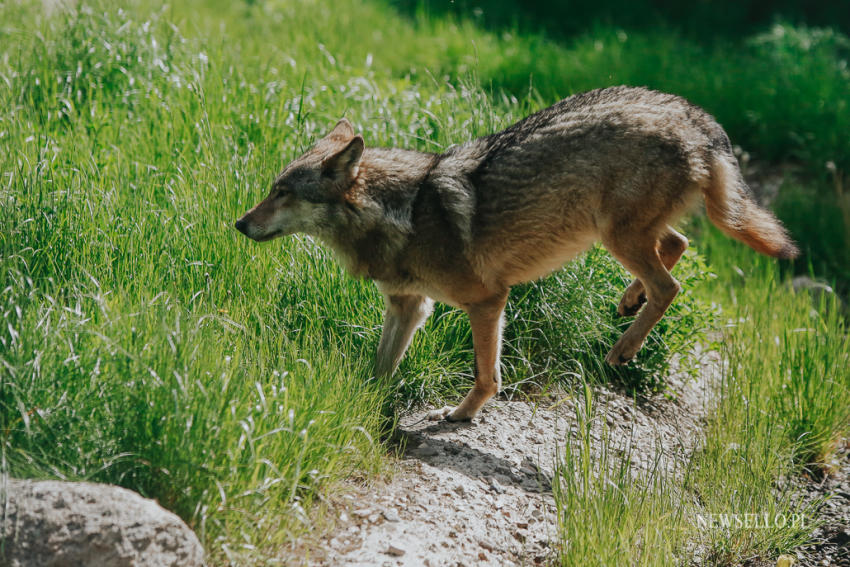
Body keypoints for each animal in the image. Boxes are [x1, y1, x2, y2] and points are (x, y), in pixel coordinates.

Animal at [235, 84, 800, 422]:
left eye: (283, 192)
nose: (239, 224)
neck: (403, 211)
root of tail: (694, 115)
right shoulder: (409, 307)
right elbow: (381, 366)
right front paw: (366, 406)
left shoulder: (487, 300)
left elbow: (487, 374)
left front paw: (463, 413)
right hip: (621, 235)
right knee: (677, 247)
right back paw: (628, 302)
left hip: (616, 236)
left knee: (671, 284)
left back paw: (624, 347)